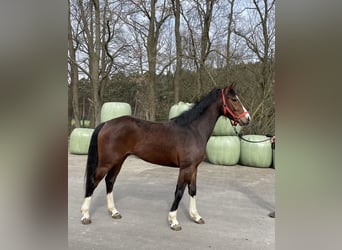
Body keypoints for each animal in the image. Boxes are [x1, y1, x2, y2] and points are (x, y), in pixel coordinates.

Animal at [81, 84, 251, 230]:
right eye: (234, 99)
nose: (247, 118)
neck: (193, 130)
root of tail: (106, 123)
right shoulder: (185, 168)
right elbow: (179, 192)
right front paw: (174, 221)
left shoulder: (194, 168)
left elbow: (193, 190)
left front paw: (196, 217)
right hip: (106, 162)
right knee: (92, 183)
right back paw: (85, 216)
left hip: (119, 160)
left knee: (110, 181)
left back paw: (114, 212)